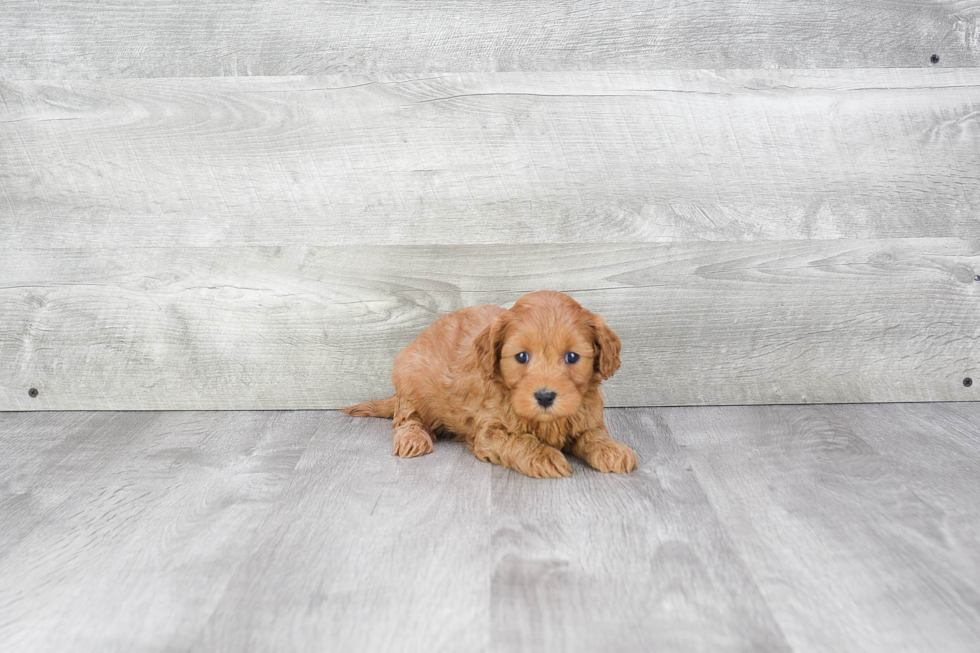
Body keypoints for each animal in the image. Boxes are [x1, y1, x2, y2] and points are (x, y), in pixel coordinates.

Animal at [342, 290, 636, 478]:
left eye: (572, 357)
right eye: (521, 356)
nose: (545, 397)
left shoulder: (586, 416)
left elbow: (594, 435)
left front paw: (613, 450)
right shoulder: (489, 432)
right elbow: (519, 441)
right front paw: (544, 456)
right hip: (410, 379)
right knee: (406, 417)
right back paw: (412, 438)